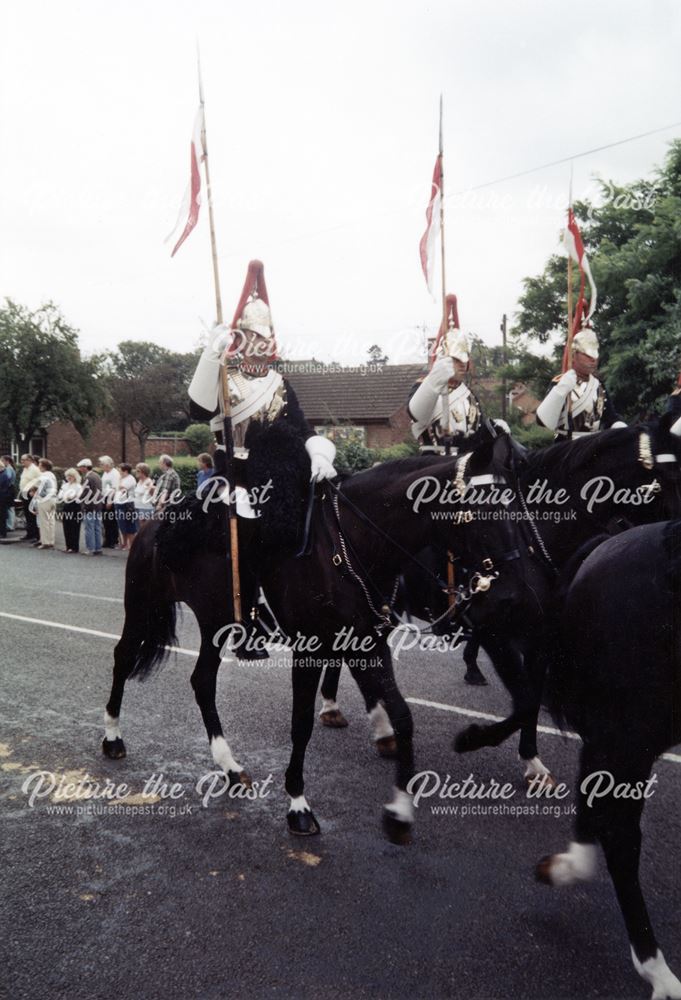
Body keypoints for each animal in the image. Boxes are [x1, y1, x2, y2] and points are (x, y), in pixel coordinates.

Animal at [101, 434, 544, 840]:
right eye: (481, 510)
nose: (514, 594)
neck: (353, 544)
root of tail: (155, 523)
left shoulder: (369, 643)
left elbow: (403, 715)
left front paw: (400, 810)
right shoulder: (310, 650)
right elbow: (301, 723)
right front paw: (298, 805)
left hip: (214, 623)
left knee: (202, 681)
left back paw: (229, 765)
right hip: (143, 606)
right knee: (123, 658)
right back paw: (112, 736)